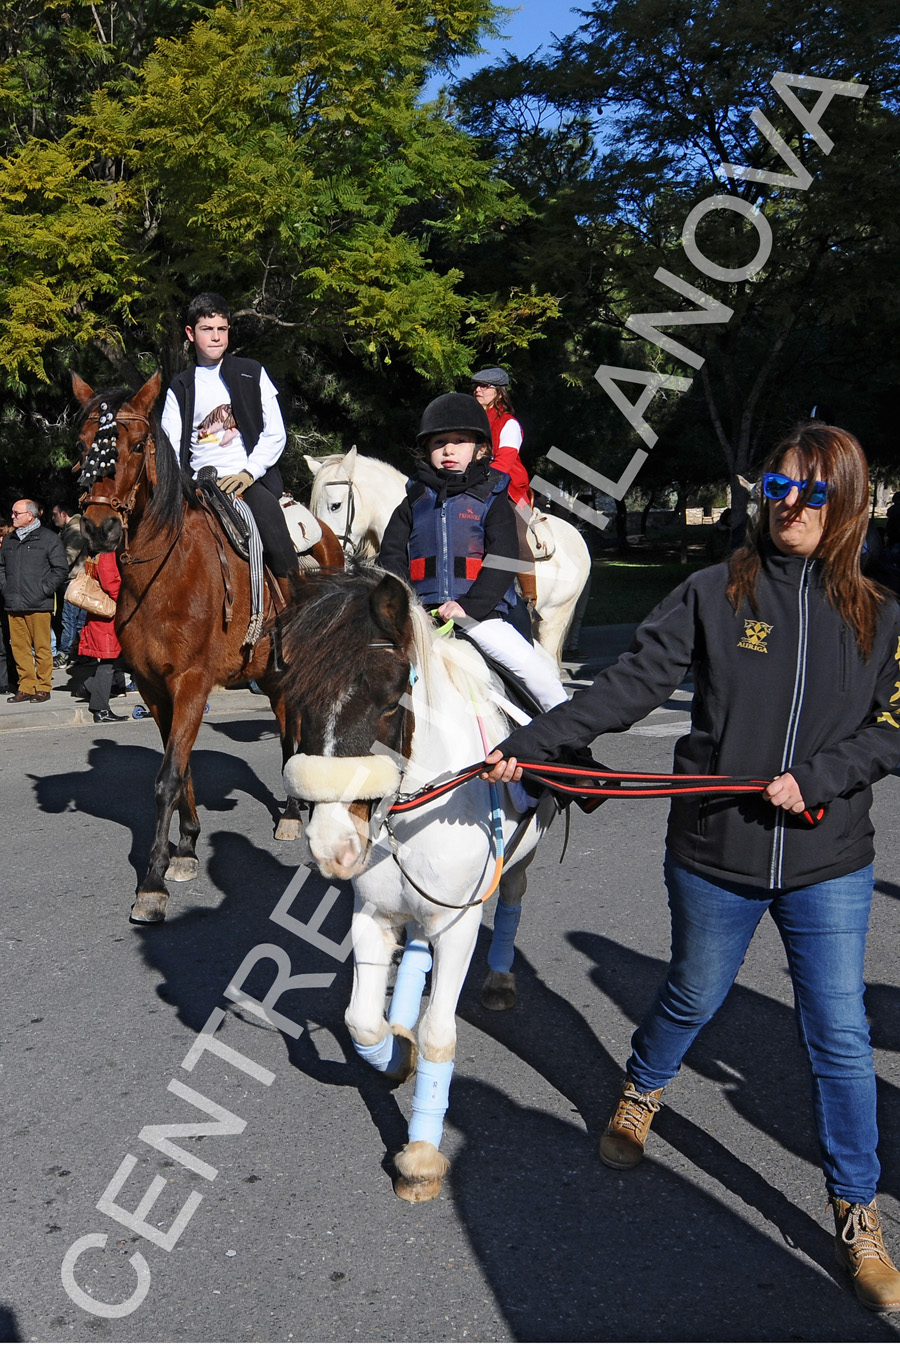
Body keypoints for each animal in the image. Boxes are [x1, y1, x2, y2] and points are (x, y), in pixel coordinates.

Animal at [72, 367, 348, 928]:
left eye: (137, 445)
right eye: (85, 444)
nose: (98, 527)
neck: (168, 570)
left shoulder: (192, 683)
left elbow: (167, 778)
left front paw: (152, 883)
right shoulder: (157, 690)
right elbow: (182, 770)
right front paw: (186, 849)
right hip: (270, 673)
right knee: (286, 724)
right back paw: (290, 810)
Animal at [277, 564, 555, 1198]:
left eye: (387, 702)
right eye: (296, 700)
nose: (332, 847)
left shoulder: (458, 925)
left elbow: (438, 1034)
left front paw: (421, 1156)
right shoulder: (373, 914)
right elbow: (360, 1020)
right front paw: (393, 1053)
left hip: (514, 869)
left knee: (514, 901)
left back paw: (499, 979)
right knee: (415, 954)